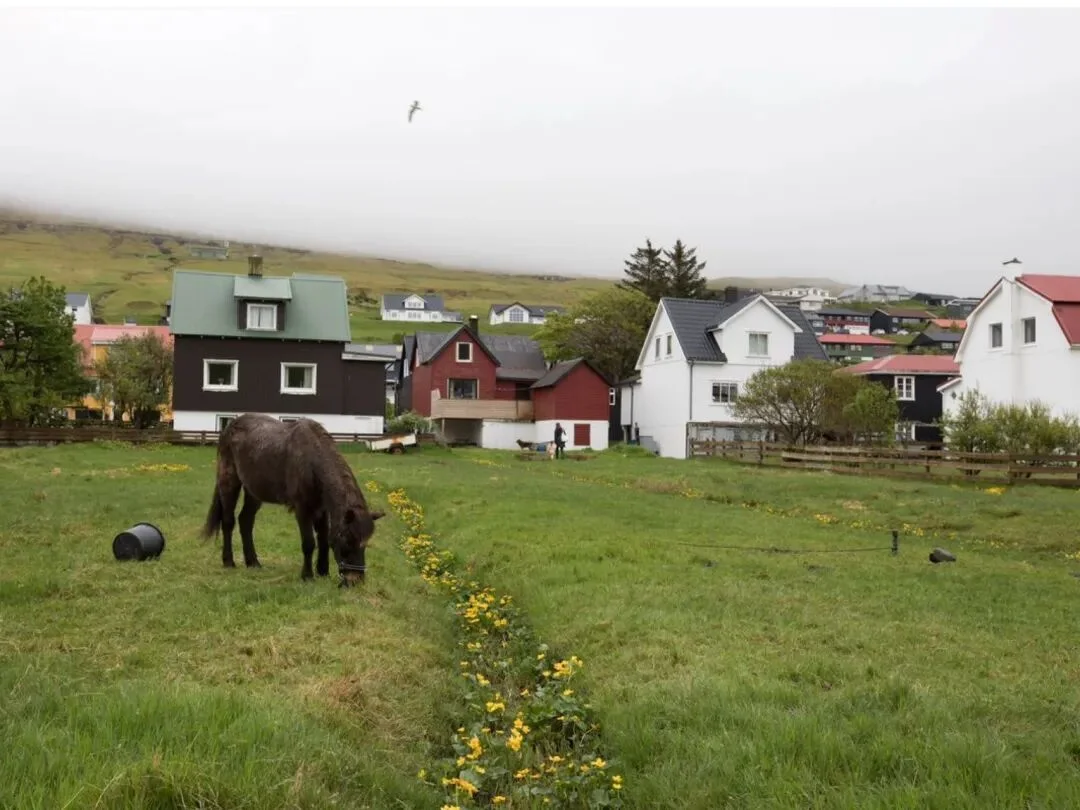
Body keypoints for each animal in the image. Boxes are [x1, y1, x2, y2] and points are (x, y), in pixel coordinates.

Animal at [199, 413, 385, 586]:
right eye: (347, 542)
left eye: (364, 544)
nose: (355, 581)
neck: (311, 460)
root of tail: (230, 427)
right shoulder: (302, 509)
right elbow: (309, 543)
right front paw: (307, 576)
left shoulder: (321, 508)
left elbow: (323, 539)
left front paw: (323, 572)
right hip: (229, 481)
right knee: (228, 521)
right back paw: (229, 562)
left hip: (254, 491)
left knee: (245, 521)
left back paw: (253, 562)